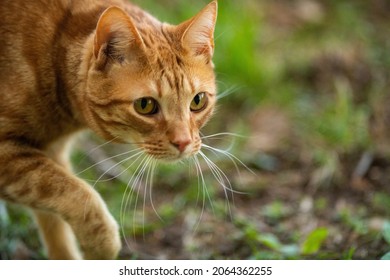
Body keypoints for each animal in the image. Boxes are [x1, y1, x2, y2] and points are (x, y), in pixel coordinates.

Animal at [0, 0, 216, 260]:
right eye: (145, 105)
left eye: (198, 101)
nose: (184, 142)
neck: (52, 58)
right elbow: (76, 193)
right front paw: (102, 244)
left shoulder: (52, 151)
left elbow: (54, 222)